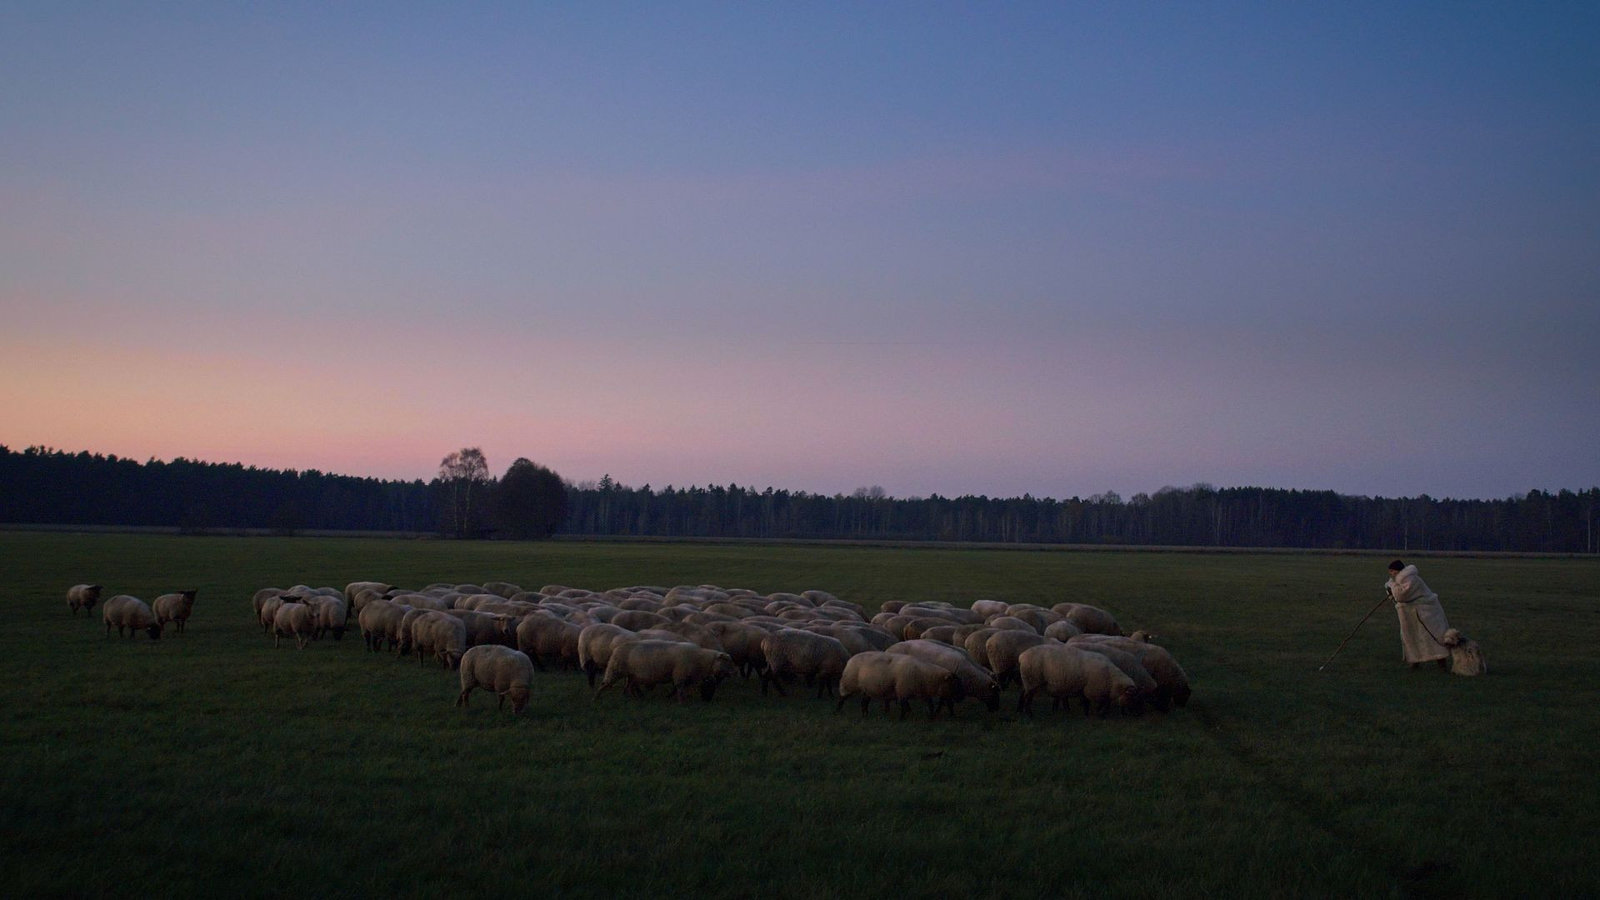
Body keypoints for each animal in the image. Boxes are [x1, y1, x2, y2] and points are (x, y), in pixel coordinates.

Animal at [595, 637, 736, 701]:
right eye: (726, 661)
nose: (734, 672)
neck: (700, 659)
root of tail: (617, 648)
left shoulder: (688, 676)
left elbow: (685, 688)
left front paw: (685, 698)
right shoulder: (680, 674)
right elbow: (679, 688)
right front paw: (682, 702)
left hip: (632, 674)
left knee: (629, 686)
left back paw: (632, 698)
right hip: (615, 669)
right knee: (604, 684)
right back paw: (596, 698)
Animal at [1017, 643, 1145, 714]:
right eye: (1132, 698)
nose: (1138, 714)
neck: (1112, 679)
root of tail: (1022, 656)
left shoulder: (1090, 688)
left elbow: (1098, 701)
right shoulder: (1092, 689)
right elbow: (1091, 701)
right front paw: (1093, 713)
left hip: (1027, 680)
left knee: (1023, 693)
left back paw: (1020, 709)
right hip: (1032, 680)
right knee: (1028, 697)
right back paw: (1029, 714)